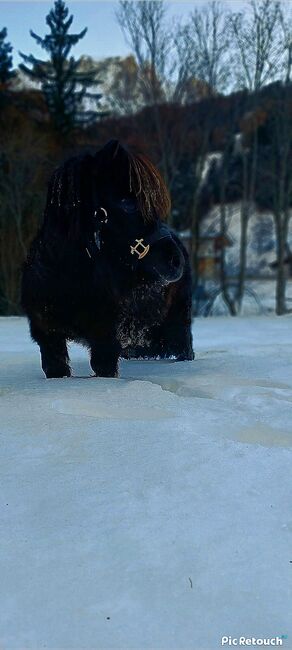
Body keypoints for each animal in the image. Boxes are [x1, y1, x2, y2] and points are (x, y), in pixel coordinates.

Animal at [21, 139, 193, 378]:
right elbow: (56, 367)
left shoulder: (106, 339)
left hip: (178, 323)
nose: (175, 261)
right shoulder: (48, 335)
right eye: (127, 204)